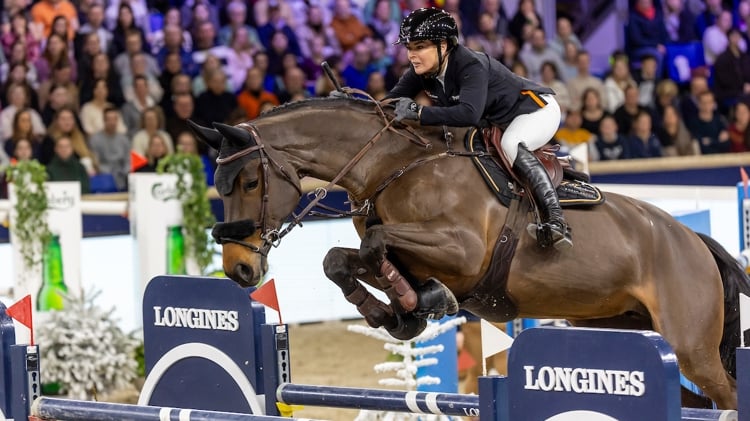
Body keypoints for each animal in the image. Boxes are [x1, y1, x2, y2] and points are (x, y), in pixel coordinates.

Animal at [189, 97, 750, 406]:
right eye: (219, 184)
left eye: (250, 181)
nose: (240, 269)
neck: (393, 165)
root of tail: (695, 243)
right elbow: (343, 258)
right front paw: (398, 312)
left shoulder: (462, 251)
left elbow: (375, 244)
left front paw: (422, 302)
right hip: (621, 325)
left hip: (691, 346)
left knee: (723, 393)